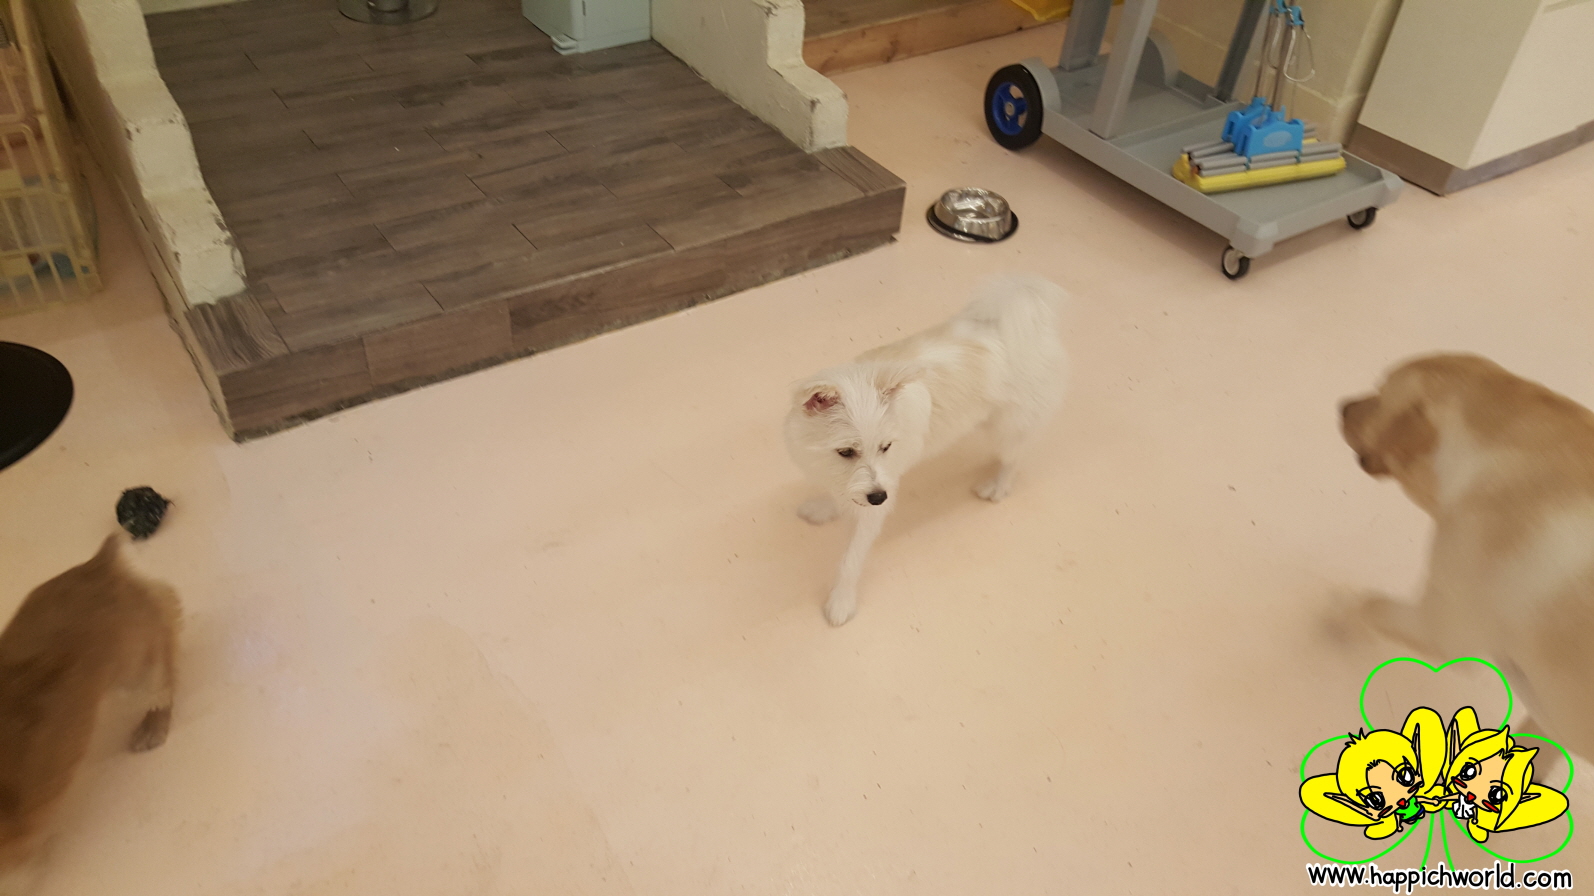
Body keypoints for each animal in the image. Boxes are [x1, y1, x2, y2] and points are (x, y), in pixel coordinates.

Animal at [785, 274, 1067, 625]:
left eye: (886, 447)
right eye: (846, 452)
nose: (879, 497)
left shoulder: (875, 504)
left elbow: (851, 560)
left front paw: (841, 601)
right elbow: (837, 495)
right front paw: (823, 509)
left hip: (1008, 428)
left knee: (1013, 460)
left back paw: (996, 487)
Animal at [1340, 353, 1594, 773]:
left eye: (1379, 395)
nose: (1342, 406)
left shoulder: (1441, 627)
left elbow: (1369, 606)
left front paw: (1339, 616)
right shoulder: (1547, 711)